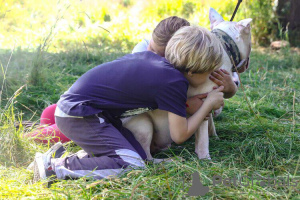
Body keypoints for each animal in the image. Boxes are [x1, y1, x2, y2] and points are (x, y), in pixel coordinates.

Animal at [122, 8, 251, 161]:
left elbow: (210, 122)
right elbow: (202, 135)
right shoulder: (204, 99)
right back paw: (167, 160)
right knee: (147, 157)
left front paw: (214, 136)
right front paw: (205, 157)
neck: (223, 44)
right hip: (143, 124)